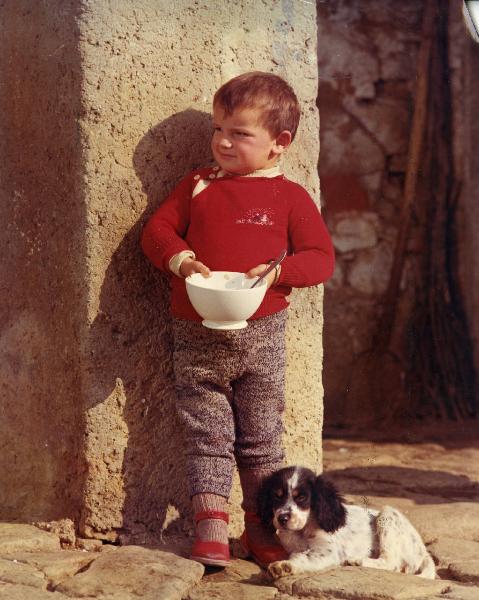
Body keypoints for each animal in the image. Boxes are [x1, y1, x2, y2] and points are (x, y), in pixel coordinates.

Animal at [260, 466, 436, 580]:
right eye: (277, 496)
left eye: (302, 497)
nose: (282, 519)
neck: (302, 531)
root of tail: (423, 551)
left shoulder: (328, 551)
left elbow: (304, 558)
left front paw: (285, 566)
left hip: (387, 514)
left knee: (391, 562)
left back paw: (358, 560)